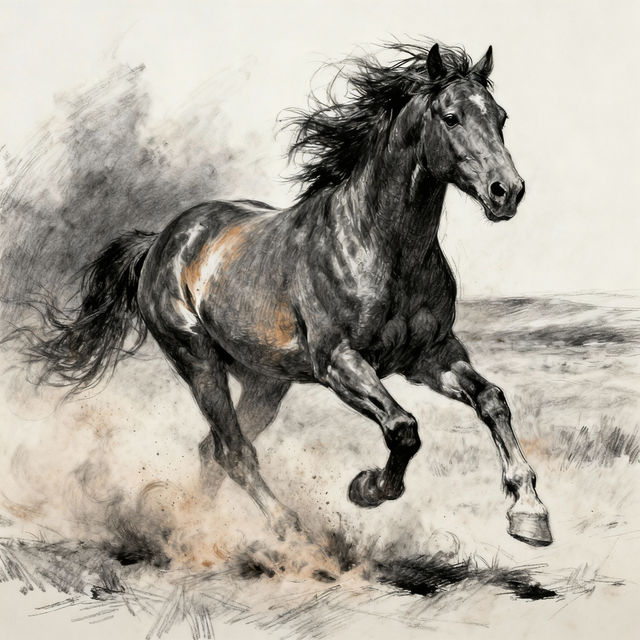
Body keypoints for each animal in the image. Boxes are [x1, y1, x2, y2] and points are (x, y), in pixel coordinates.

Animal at [22, 41, 552, 559]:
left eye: (500, 116)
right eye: (450, 116)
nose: (507, 192)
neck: (382, 244)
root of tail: (162, 241)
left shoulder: (431, 355)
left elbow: (491, 400)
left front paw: (529, 514)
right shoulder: (338, 361)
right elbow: (403, 427)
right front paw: (367, 488)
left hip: (265, 382)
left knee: (211, 452)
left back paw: (193, 533)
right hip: (198, 362)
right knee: (233, 452)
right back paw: (288, 533)